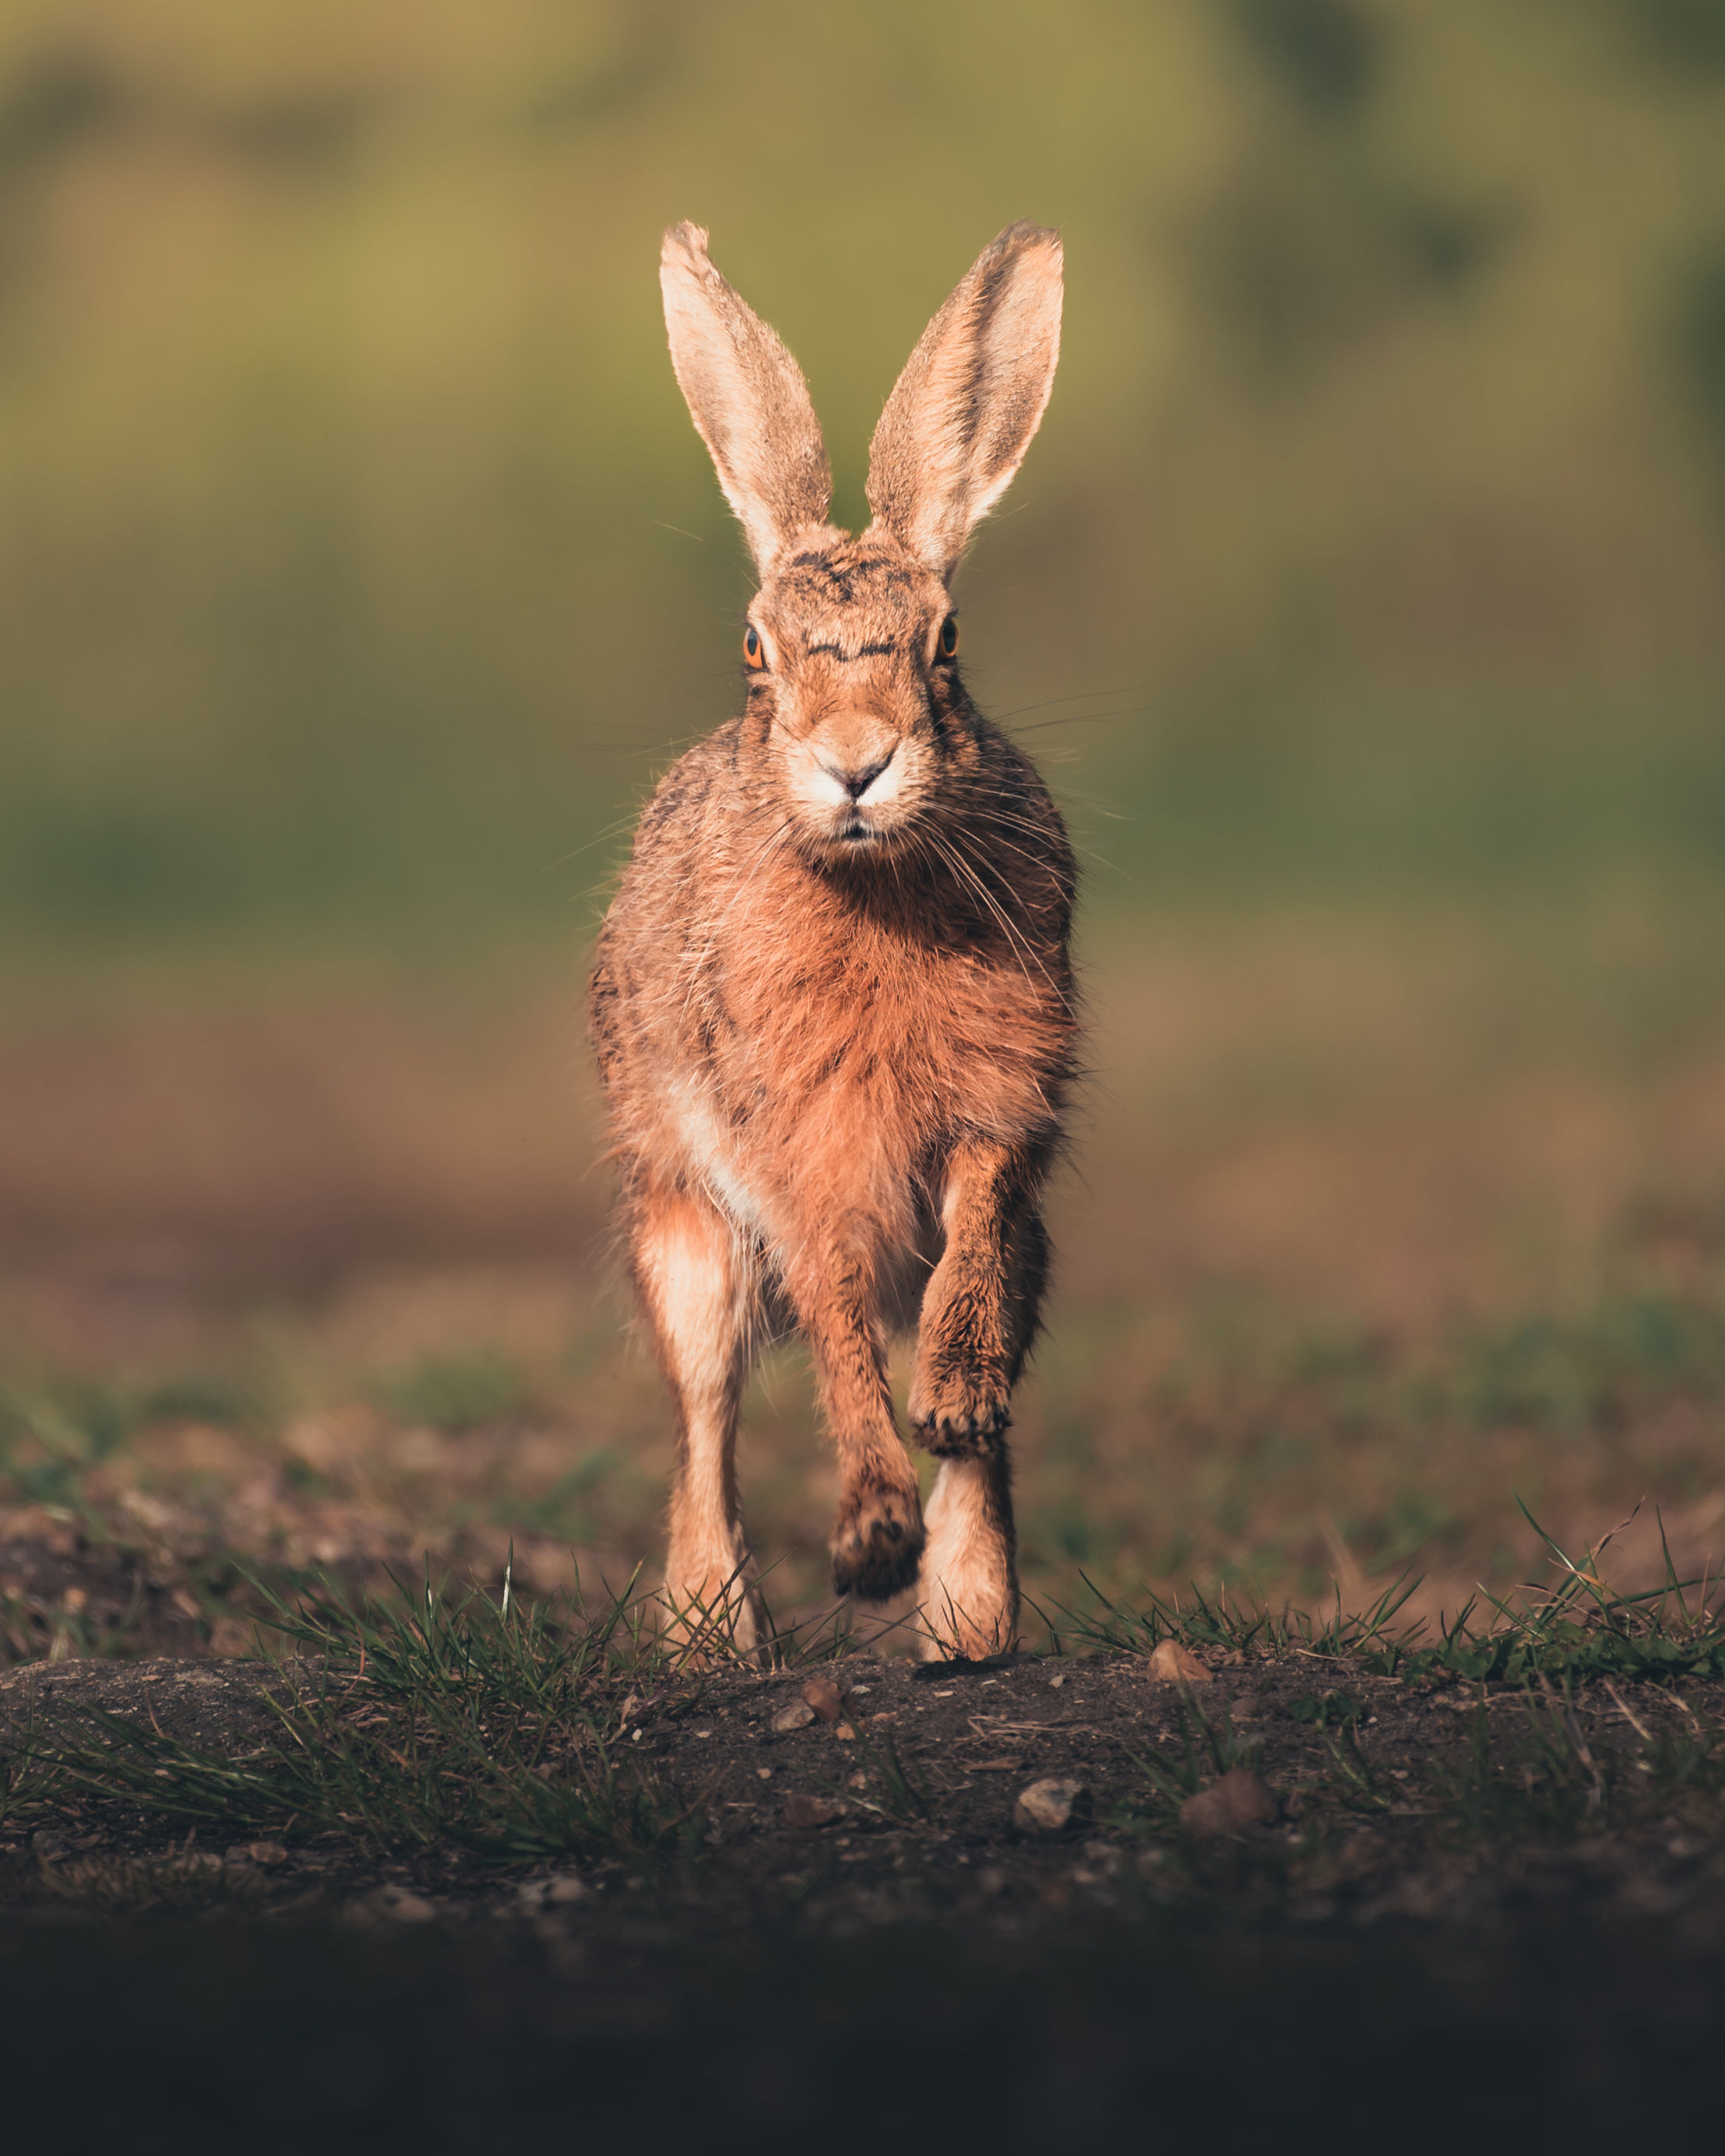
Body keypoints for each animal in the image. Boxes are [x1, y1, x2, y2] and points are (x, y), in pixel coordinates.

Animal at [588, 221, 1078, 1661]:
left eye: (949, 643)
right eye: (755, 651)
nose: (856, 763)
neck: (875, 885)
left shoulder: (999, 1114)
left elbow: (968, 1242)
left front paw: (954, 1403)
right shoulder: (796, 1159)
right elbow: (837, 1328)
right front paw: (866, 1536)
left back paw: (969, 1625)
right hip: (682, 1229)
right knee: (705, 1419)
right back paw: (713, 1637)